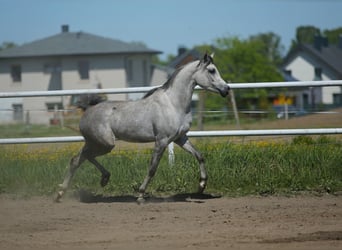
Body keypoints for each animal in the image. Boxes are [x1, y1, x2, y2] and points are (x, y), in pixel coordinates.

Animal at [54, 53, 228, 202]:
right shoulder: (161, 141)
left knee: (77, 159)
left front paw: (202, 186)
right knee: (83, 157)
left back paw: (66, 191)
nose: (226, 89)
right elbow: (152, 168)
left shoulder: (180, 138)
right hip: (105, 143)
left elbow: (199, 156)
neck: (173, 104)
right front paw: (140, 195)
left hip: (95, 142)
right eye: (211, 70)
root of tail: (87, 110)